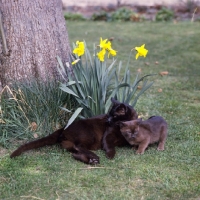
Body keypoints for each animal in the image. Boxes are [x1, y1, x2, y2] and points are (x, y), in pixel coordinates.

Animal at [10, 97, 138, 165]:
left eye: (114, 116)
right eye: (109, 115)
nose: (108, 120)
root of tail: (64, 127)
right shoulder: (108, 136)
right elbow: (109, 146)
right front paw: (110, 155)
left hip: (72, 145)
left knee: (75, 153)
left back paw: (92, 160)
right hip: (89, 136)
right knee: (79, 147)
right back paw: (95, 158)